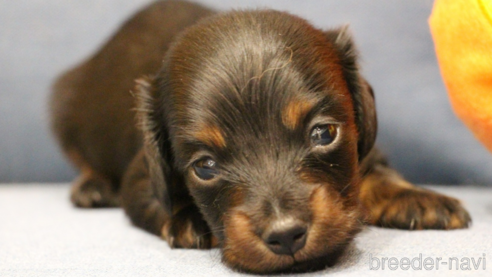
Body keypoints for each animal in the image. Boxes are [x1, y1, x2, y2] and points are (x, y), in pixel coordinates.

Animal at [50, 0, 472, 272]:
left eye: (323, 133)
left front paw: (418, 199)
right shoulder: (141, 177)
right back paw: (92, 187)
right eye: (205, 167)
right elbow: (157, 201)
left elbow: (377, 174)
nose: (286, 236)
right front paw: (192, 220)